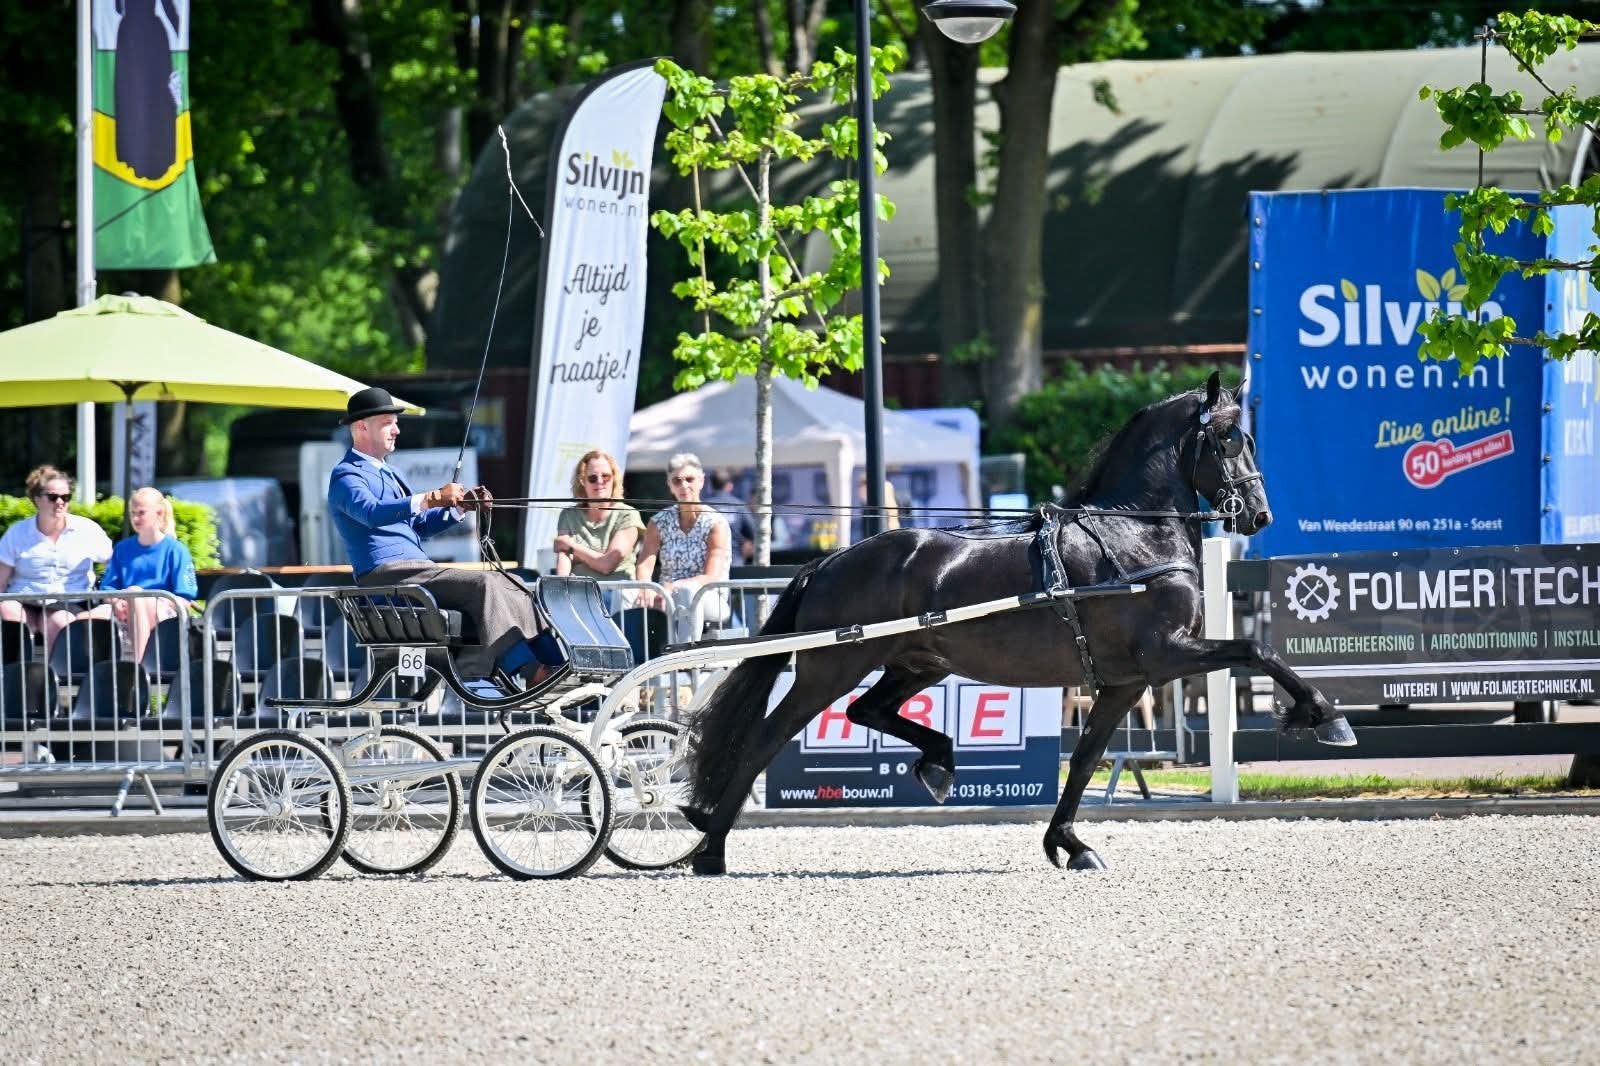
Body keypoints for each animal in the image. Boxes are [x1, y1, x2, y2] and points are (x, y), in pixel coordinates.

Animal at [678, 372, 1355, 875]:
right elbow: (1256, 650)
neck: (1134, 535)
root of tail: (829, 561)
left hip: (916, 663)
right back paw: (710, 847)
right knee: (767, 738)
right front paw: (1324, 716)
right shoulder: (1168, 653)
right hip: (831, 666)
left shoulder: (1126, 682)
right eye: (1231, 440)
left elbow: (1084, 757)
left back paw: (938, 762)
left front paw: (1070, 845)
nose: (1260, 516)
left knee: (867, 711)